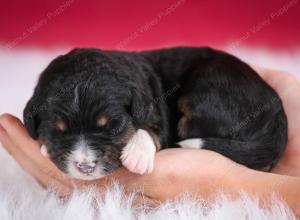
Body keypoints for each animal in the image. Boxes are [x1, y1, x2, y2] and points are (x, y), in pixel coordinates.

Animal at [22, 47, 286, 180]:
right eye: (57, 131)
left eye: (112, 127)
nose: (85, 167)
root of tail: (277, 116)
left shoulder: (159, 114)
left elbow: (149, 130)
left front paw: (137, 155)